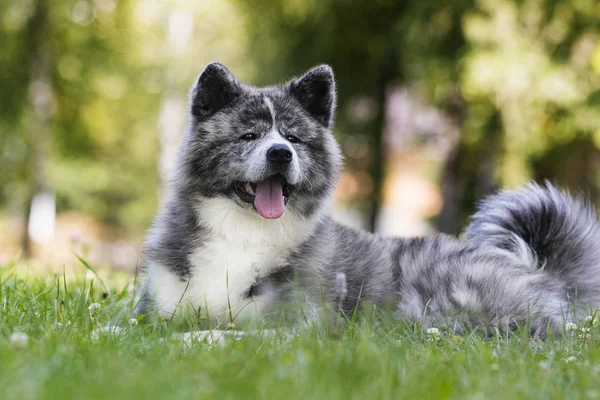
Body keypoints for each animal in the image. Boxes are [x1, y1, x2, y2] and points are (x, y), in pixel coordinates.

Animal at [135, 62, 600, 338]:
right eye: (249, 135)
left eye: (293, 138)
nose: (280, 153)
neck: (243, 232)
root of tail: (543, 273)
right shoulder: (155, 304)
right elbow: (131, 326)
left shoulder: (301, 326)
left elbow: (229, 333)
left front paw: (194, 338)